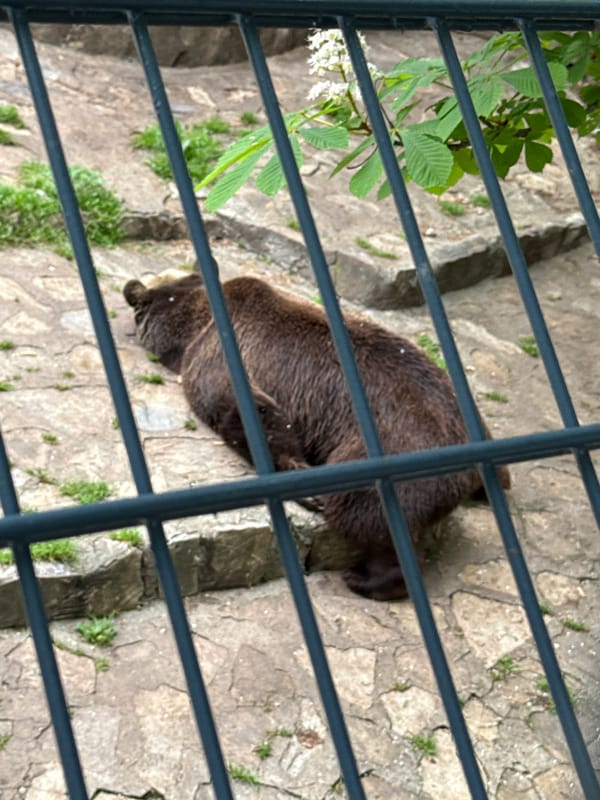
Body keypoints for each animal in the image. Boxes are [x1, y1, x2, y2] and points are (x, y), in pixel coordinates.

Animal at [124, 269, 510, 601]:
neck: (199, 322)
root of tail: (471, 468)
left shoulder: (220, 355)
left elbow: (243, 408)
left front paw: (300, 477)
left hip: (388, 450)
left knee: (366, 512)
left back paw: (366, 578)